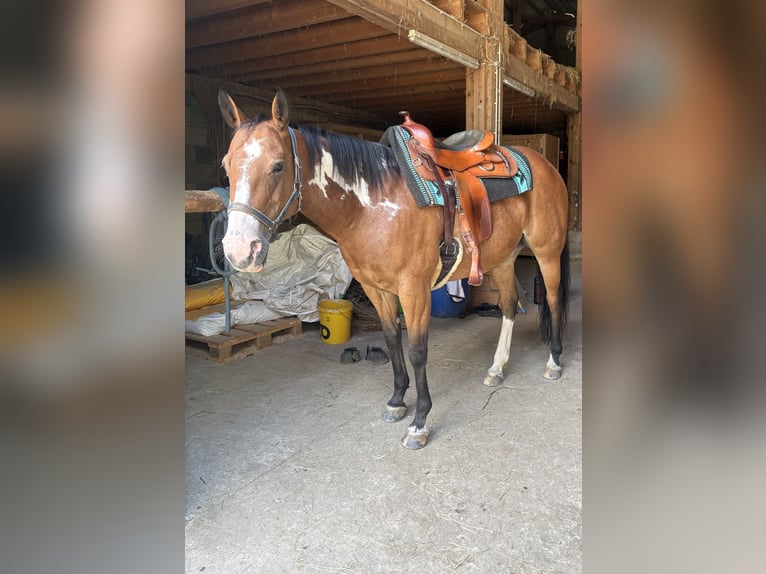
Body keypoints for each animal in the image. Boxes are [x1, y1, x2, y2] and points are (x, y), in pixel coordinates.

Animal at [217, 89, 570, 449]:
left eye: (278, 165)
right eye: (226, 166)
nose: (239, 250)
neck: (371, 206)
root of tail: (544, 165)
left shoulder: (414, 290)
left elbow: (417, 352)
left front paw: (419, 422)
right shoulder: (376, 289)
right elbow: (391, 342)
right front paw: (398, 401)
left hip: (546, 252)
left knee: (554, 300)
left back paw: (554, 362)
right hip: (502, 258)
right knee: (510, 306)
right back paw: (497, 368)